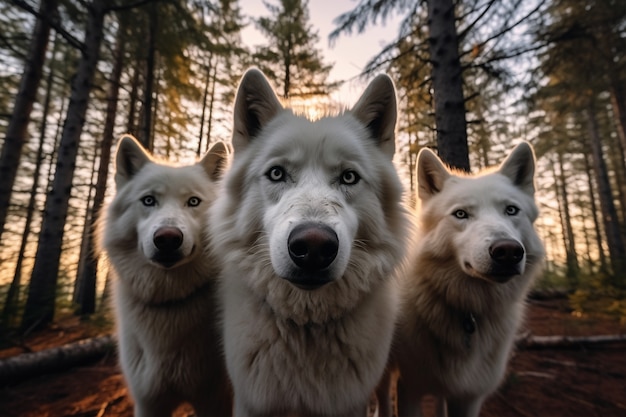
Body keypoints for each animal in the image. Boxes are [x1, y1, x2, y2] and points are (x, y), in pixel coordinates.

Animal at [100, 134, 232, 416]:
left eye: (193, 201)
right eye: (149, 200)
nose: (168, 238)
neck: (169, 302)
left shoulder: (215, 400)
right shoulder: (149, 401)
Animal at [210, 68, 412, 416]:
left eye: (349, 177)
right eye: (277, 173)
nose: (314, 247)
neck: (306, 326)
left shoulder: (350, 403)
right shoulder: (252, 402)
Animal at [378, 141, 544, 416]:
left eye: (511, 210)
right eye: (461, 214)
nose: (508, 251)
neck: (469, 312)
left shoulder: (469, 397)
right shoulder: (410, 388)